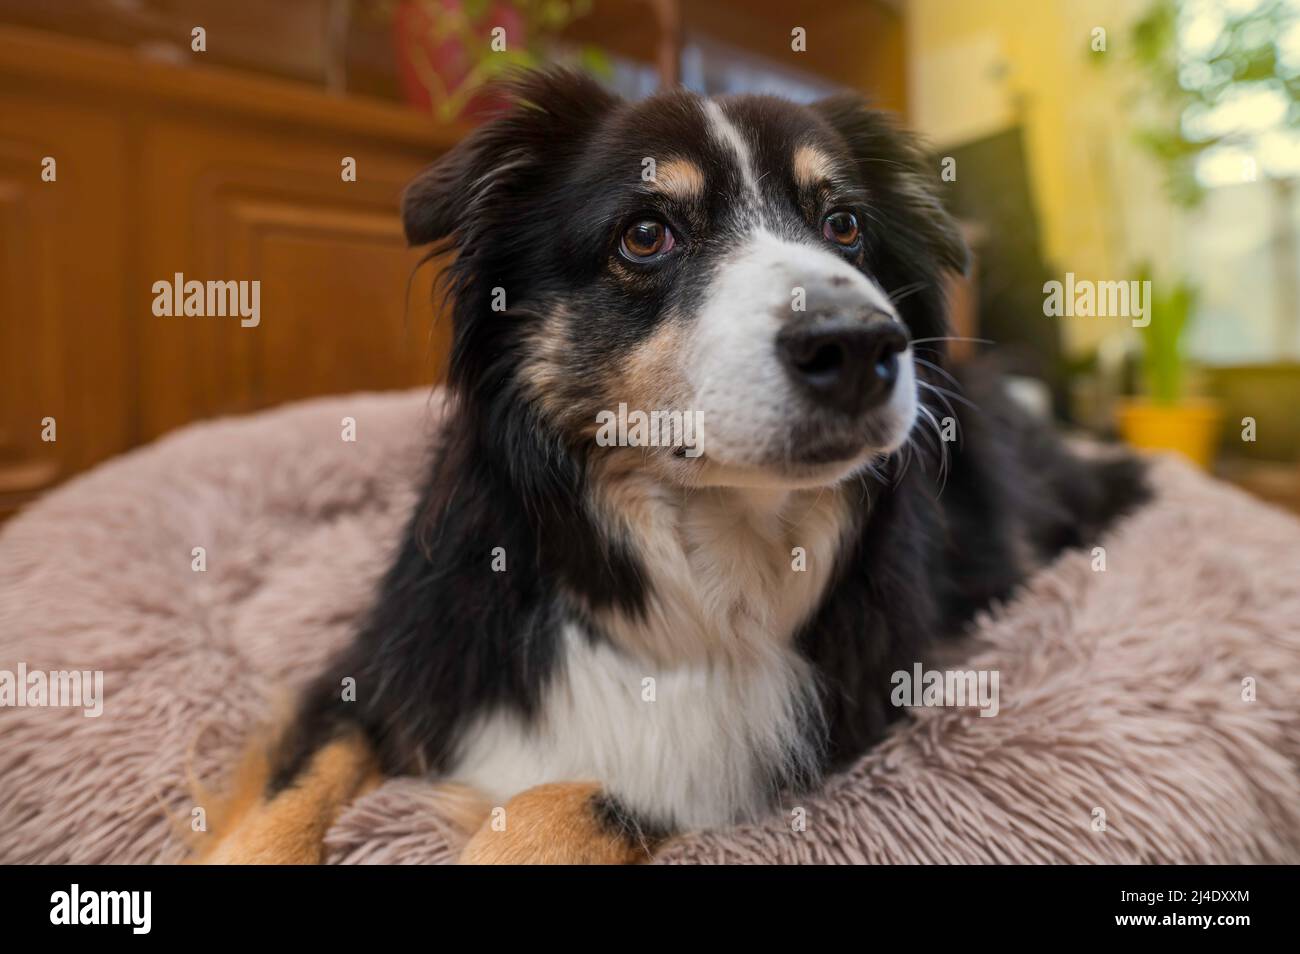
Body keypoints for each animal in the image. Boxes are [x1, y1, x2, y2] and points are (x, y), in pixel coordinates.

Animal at [197, 67, 1144, 868]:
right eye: (646, 234)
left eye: (844, 227)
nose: (863, 347)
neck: (693, 534)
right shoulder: (396, 657)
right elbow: (295, 788)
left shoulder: (776, 751)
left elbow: (562, 805)